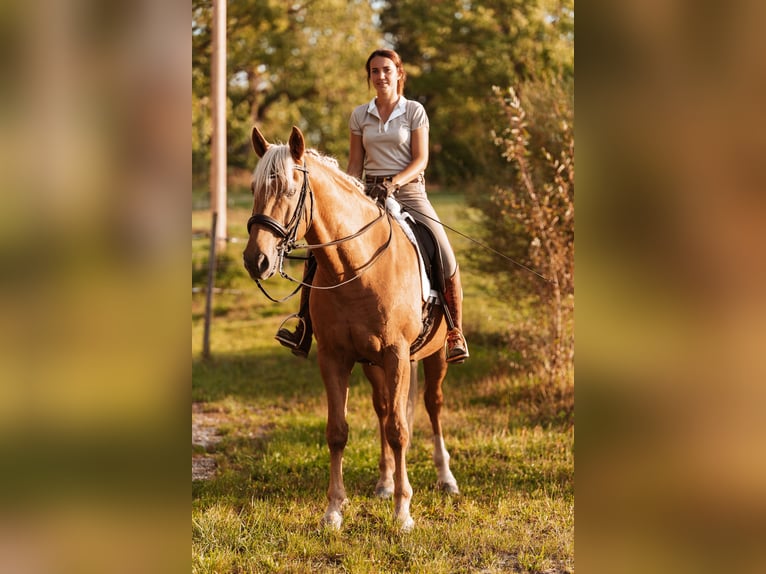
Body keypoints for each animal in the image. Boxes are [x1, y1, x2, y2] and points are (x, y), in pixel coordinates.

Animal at [242, 126, 459, 531]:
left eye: (289, 190)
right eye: (253, 188)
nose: (255, 260)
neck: (357, 268)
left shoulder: (396, 355)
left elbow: (400, 430)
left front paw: (403, 513)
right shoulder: (334, 358)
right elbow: (338, 431)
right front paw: (333, 511)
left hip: (433, 355)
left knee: (432, 405)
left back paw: (445, 478)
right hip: (373, 365)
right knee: (384, 409)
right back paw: (385, 483)